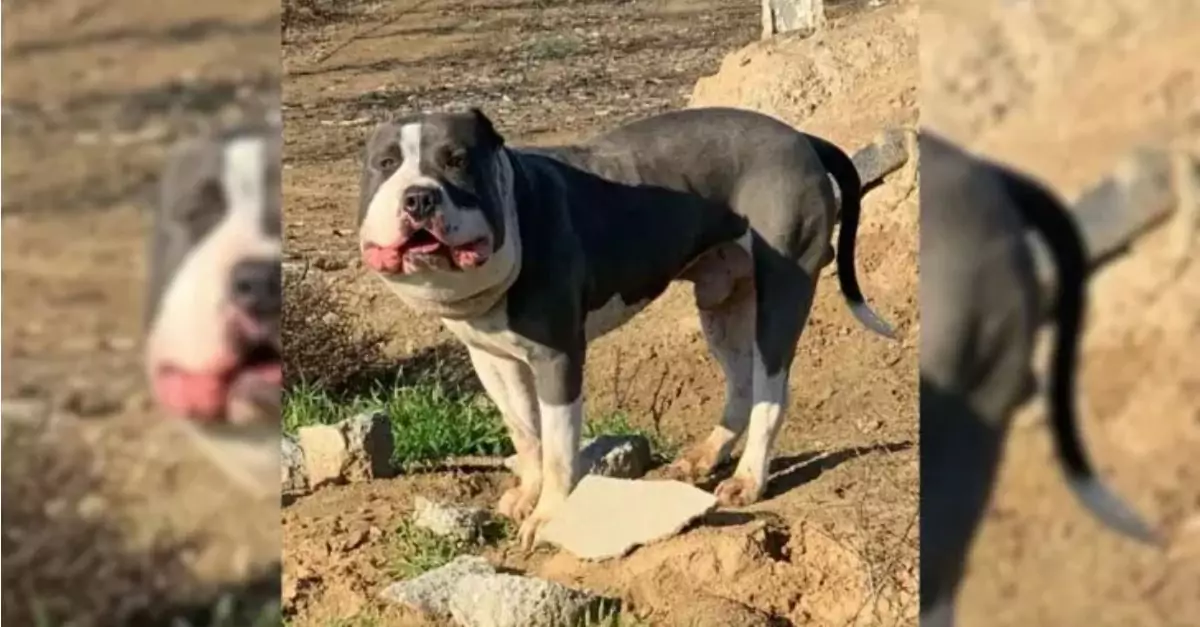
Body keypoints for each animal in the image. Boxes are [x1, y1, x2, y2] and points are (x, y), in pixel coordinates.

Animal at [350, 105, 897, 542]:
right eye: (386, 164)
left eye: (457, 160)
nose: (419, 197)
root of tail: (800, 136)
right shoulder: (492, 359)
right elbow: (526, 433)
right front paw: (527, 494)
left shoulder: (558, 358)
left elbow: (558, 448)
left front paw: (549, 515)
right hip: (722, 302)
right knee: (741, 383)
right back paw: (705, 456)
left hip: (783, 288)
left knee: (770, 391)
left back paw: (748, 478)